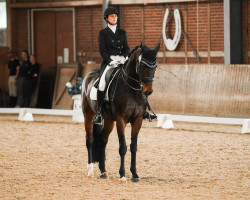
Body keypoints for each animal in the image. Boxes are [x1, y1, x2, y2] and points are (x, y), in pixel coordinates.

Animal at [82, 43, 160, 184]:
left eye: (155, 66)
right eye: (143, 66)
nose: (148, 91)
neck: (131, 89)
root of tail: (88, 75)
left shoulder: (137, 120)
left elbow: (133, 147)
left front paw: (135, 174)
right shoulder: (121, 120)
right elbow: (123, 147)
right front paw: (122, 175)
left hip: (108, 120)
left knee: (103, 140)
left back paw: (103, 171)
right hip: (88, 115)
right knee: (89, 140)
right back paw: (90, 171)